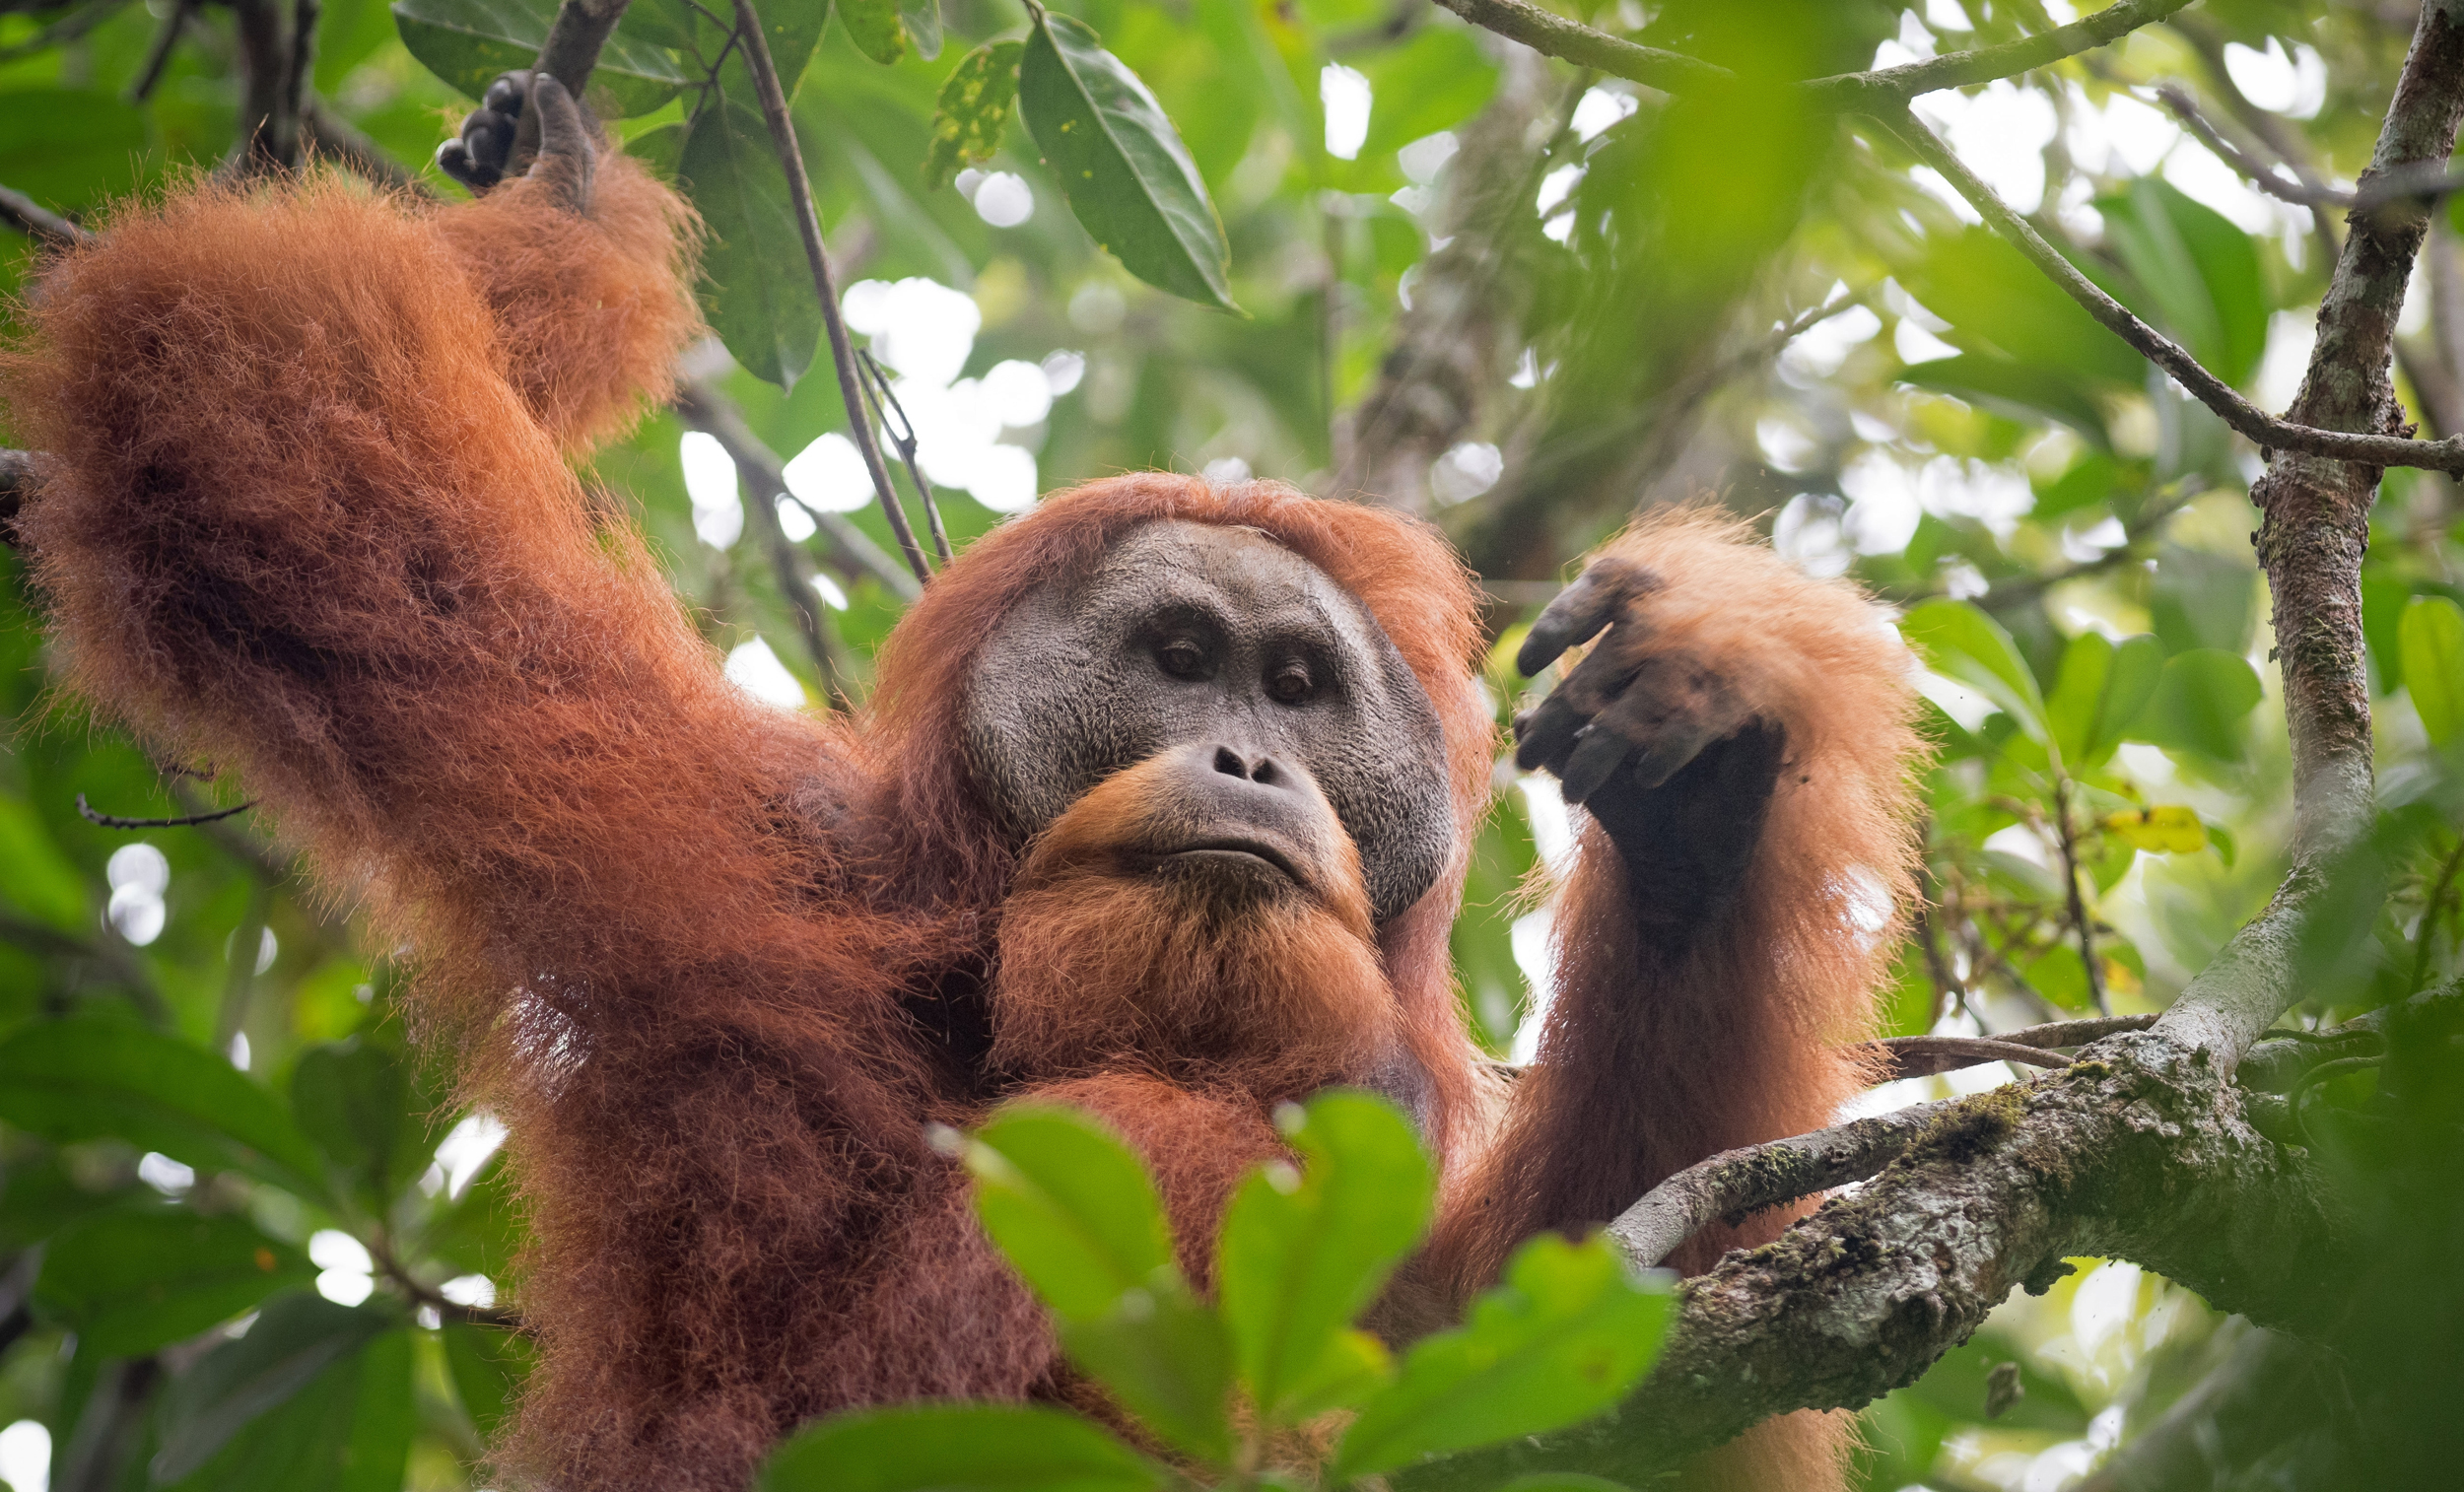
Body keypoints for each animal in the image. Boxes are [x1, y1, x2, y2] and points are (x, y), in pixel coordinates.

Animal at [1, 73, 1924, 1491]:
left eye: (1300, 689)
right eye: (1177, 658)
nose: (1243, 751)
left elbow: (1610, 1339)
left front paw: (1704, 776)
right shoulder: (737, 840)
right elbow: (260, 399)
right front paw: (553, 206)